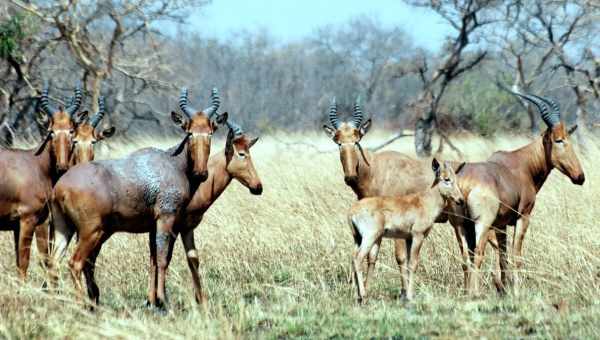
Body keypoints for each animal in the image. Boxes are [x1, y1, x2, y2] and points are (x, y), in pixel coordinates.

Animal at [0, 85, 112, 282]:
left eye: (70, 130)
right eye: (51, 131)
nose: (62, 166)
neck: (35, 164)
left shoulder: (24, 224)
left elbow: (29, 261)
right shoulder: (29, 220)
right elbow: (26, 263)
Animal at [48, 87, 223, 306]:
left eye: (210, 133)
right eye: (190, 133)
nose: (201, 173)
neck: (172, 162)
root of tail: (60, 187)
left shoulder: (153, 225)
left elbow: (154, 259)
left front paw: (154, 302)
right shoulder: (166, 217)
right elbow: (163, 259)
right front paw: (163, 301)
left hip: (64, 228)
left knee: (53, 262)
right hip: (91, 231)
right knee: (75, 263)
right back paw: (85, 305)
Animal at [145, 117, 262, 306]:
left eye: (248, 150)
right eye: (241, 153)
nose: (258, 187)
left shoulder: (184, 228)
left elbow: (191, 259)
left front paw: (201, 299)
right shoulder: (172, 227)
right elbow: (163, 258)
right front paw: (155, 300)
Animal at [346, 159, 464, 302]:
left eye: (456, 179)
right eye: (446, 179)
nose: (461, 200)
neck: (424, 201)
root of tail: (352, 211)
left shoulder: (408, 238)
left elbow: (407, 264)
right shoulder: (418, 236)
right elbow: (413, 264)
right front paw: (410, 296)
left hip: (358, 238)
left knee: (353, 257)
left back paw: (357, 295)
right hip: (370, 237)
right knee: (358, 258)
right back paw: (362, 295)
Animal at [450, 90, 584, 294]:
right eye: (559, 139)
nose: (580, 176)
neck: (522, 165)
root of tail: (466, 183)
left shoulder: (500, 225)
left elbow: (503, 258)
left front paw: (504, 289)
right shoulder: (523, 216)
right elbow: (516, 256)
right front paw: (516, 290)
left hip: (460, 226)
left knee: (466, 258)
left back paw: (467, 293)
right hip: (482, 223)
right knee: (478, 255)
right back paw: (475, 293)